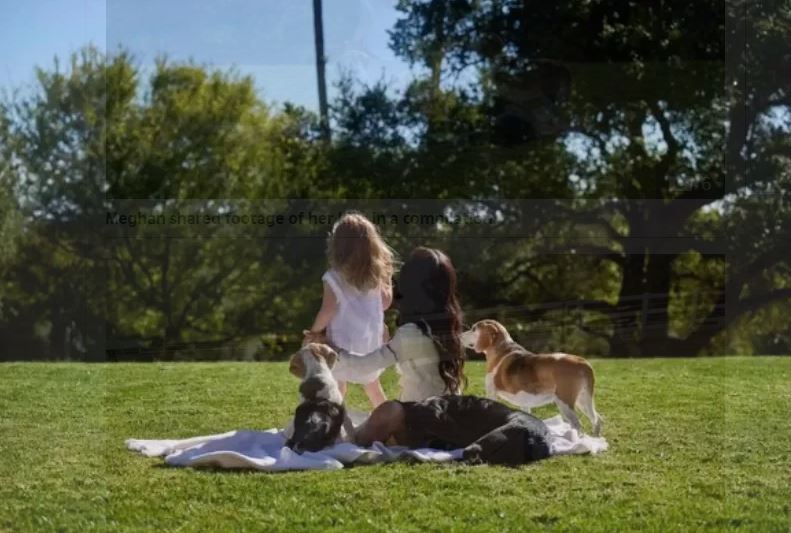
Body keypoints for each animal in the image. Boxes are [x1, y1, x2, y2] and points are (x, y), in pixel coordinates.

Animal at [460, 318, 604, 434]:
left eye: (473, 329)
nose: (459, 336)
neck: (501, 350)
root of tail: (583, 361)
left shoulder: (492, 394)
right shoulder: (524, 403)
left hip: (565, 402)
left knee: (577, 424)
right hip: (583, 400)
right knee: (597, 419)